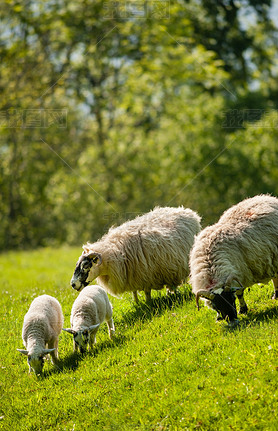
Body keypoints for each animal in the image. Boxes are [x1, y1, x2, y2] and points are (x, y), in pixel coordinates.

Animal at [69, 207, 200, 302]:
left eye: (86, 266)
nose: (73, 284)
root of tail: (186, 211)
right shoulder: (131, 276)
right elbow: (134, 292)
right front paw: (137, 303)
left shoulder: (146, 274)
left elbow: (147, 292)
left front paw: (148, 303)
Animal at [190, 195, 278, 324]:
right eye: (216, 306)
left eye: (232, 299)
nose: (232, 321)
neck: (211, 265)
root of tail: (265, 197)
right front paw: (219, 317)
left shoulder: (242, 274)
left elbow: (240, 293)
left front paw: (243, 310)